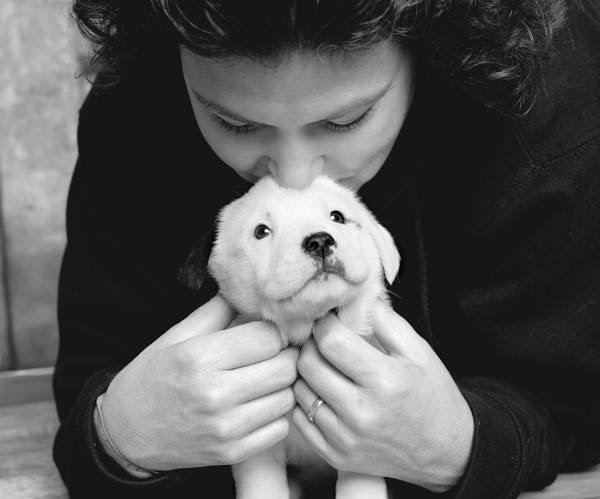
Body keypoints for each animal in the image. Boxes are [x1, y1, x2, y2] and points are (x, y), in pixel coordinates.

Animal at [184, 176, 398, 499]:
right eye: (261, 231)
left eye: (337, 217)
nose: (319, 241)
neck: (307, 328)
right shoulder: (258, 444)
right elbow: (263, 488)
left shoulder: (359, 444)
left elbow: (360, 481)